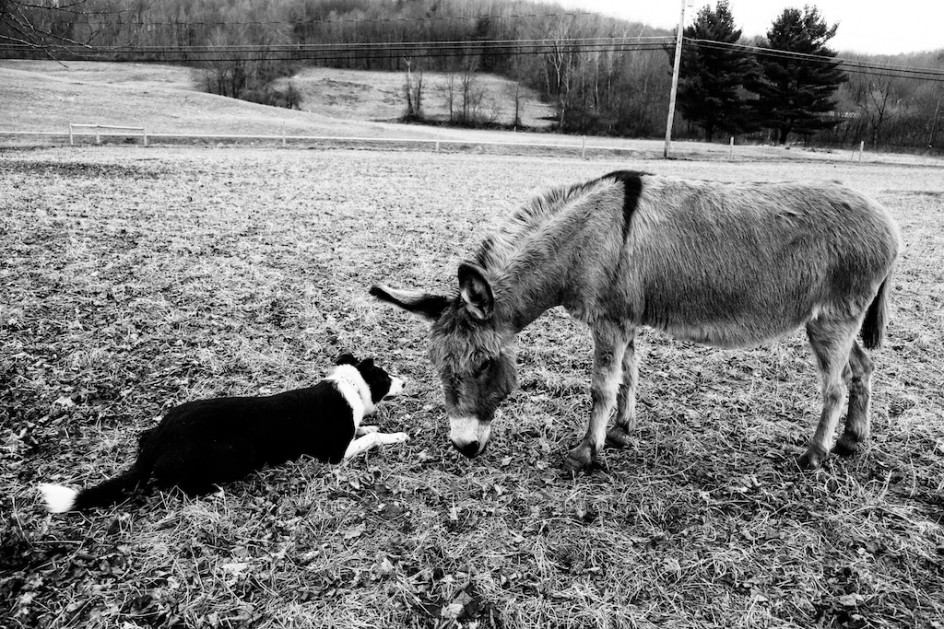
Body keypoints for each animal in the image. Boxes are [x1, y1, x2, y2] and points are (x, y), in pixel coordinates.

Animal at [39, 350, 406, 512]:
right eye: (387, 377)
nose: (406, 381)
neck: (350, 387)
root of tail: (158, 440)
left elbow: (366, 429)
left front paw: (377, 426)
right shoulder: (334, 454)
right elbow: (372, 437)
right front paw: (396, 436)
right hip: (241, 451)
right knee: (180, 487)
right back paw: (214, 492)